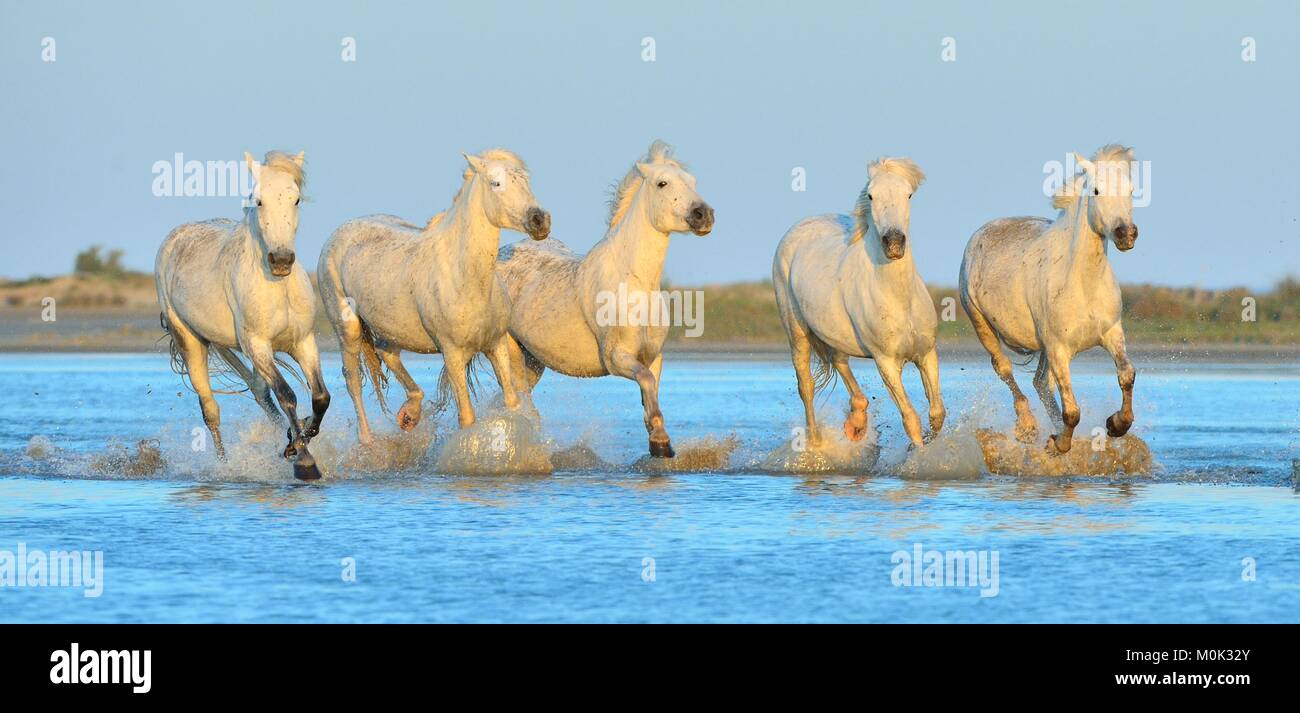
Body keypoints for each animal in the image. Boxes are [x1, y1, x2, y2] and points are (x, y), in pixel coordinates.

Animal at [155, 150, 329, 480]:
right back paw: (224, 466)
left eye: (296, 199)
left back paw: (286, 439)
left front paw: (296, 441)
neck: (277, 287)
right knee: (211, 409)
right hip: (191, 342)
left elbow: (320, 397)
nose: (281, 261)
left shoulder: (304, 342)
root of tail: (174, 238)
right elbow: (287, 395)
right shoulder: (258, 346)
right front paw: (305, 462)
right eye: (258, 201)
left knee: (261, 394)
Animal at [317, 149, 550, 444]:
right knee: (353, 381)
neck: (466, 278)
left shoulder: (495, 344)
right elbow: (467, 417)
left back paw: (409, 415)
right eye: (496, 183)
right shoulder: (452, 354)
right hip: (347, 329)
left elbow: (512, 403)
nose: (540, 221)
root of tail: (338, 233)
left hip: (391, 329)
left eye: (526, 180)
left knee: (387, 353)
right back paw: (367, 441)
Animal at [496, 140, 714, 458]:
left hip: (533, 359)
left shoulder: (653, 356)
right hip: (510, 352)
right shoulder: (617, 358)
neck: (636, 284)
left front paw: (658, 440)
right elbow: (646, 382)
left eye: (693, 182)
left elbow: (650, 391)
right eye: (662, 183)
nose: (704, 215)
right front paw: (660, 443)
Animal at [772, 156, 944, 448]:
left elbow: (937, 413)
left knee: (840, 361)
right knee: (806, 386)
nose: (894, 244)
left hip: (833, 332)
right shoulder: (885, 362)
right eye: (871, 195)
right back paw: (816, 444)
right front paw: (919, 454)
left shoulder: (926, 353)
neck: (899, 298)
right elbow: (911, 418)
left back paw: (856, 424)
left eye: (908, 194)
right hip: (797, 333)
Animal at [958, 144, 1139, 453]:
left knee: (1040, 383)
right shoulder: (1058, 349)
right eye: (1096, 190)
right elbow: (1073, 411)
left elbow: (1126, 375)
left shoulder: (1112, 334)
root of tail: (981, 232)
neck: (1083, 283)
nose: (1126, 234)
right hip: (982, 324)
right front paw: (1060, 443)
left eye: (1130, 190)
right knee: (1005, 369)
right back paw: (1027, 426)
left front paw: (1116, 424)